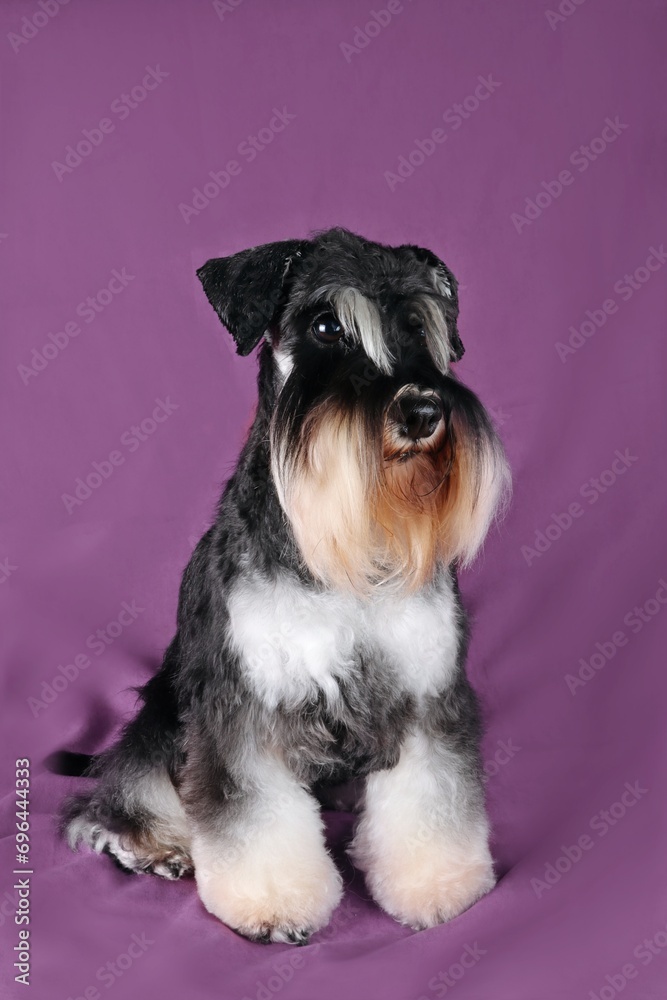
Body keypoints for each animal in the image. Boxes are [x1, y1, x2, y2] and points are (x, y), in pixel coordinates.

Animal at [62, 229, 512, 944]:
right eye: (326, 325)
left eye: (419, 325)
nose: (421, 409)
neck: (349, 550)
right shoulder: (240, 703)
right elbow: (253, 813)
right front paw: (272, 902)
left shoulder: (428, 690)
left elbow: (433, 795)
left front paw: (440, 884)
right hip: (163, 712)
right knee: (118, 791)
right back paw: (154, 845)